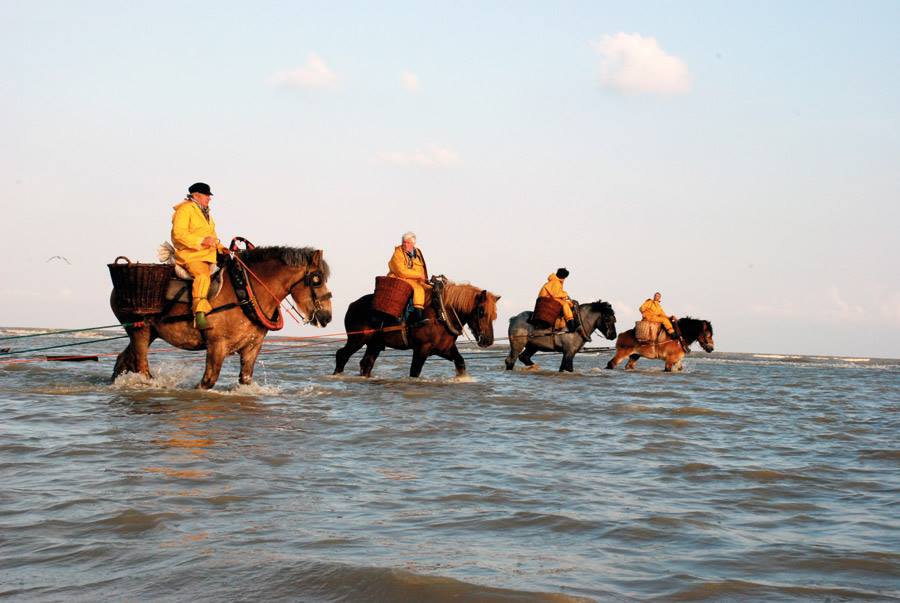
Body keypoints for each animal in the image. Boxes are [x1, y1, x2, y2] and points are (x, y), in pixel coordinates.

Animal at [110, 246, 332, 389]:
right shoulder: (217, 345)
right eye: (317, 280)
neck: (245, 291)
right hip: (140, 329)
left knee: (123, 360)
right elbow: (208, 381)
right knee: (142, 367)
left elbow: (245, 379)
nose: (328, 316)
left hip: (148, 333)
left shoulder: (252, 346)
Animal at [334, 281, 500, 378]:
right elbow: (415, 371)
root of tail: (353, 305)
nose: (488, 340)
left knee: (366, 363)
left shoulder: (445, 349)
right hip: (358, 339)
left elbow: (460, 363)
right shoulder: (422, 349)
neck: (441, 314)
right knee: (342, 355)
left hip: (374, 343)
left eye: (494, 315)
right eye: (481, 311)